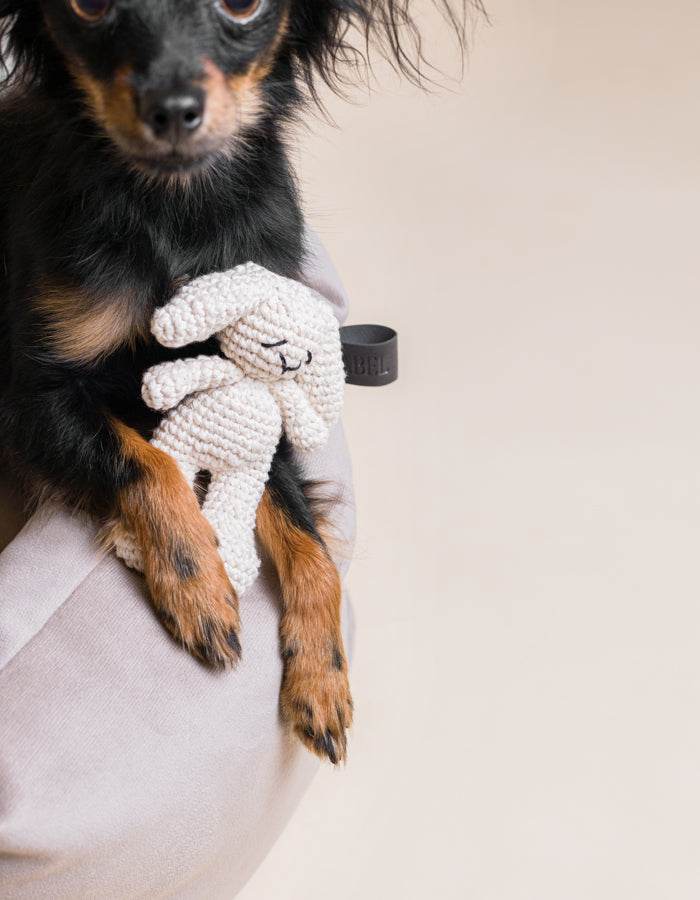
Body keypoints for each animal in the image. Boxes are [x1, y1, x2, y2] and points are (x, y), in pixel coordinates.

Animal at [0, 0, 476, 764]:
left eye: (244, 7)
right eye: (90, 7)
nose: (170, 109)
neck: (173, 205)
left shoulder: (262, 379)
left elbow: (311, 543)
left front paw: (322, 674)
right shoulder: (33, 401)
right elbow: (147, 461)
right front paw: (199, 586)